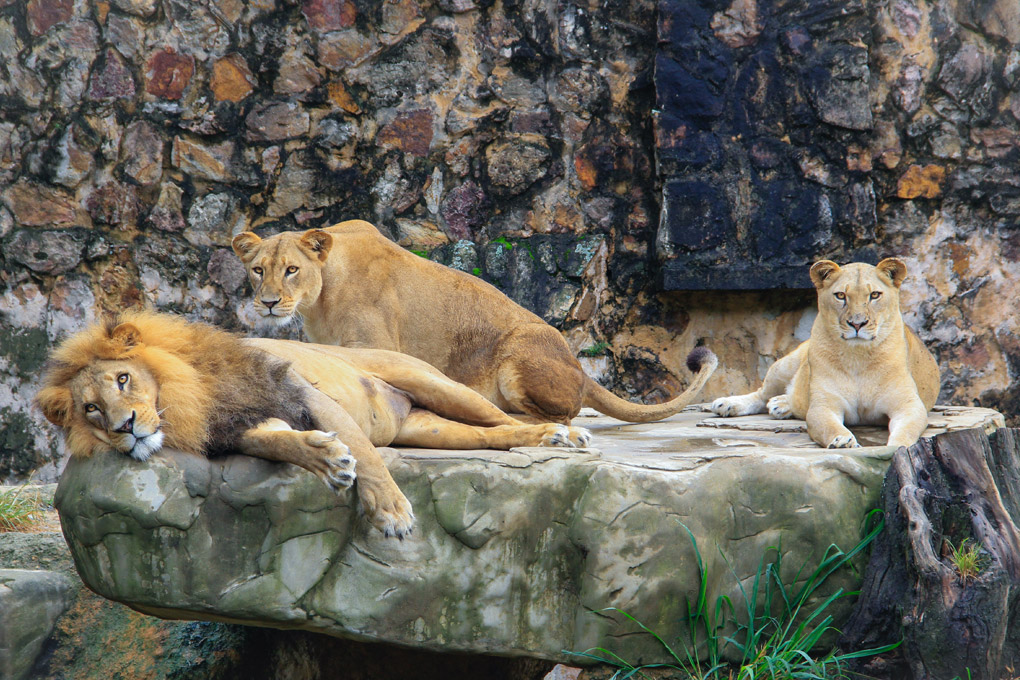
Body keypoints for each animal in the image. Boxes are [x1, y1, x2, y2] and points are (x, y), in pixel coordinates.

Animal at [37, 311, 591, 538]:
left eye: (124, 378)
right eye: (91, 409)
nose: (125, 426)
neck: (190, 398)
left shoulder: (303, 392)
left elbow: (366, 455)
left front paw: (390, 512)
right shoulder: (245, 426)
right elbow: (283, 445)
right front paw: (325, 459)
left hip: (434, 383)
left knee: (503, 415)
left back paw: (561, 434)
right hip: (431, 429)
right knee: (493, 434)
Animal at [231, 223, 718, 422]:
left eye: (291, 269)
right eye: (258, 270)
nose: (269, 303)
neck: (319, 298)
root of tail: (580, 368)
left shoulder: (374, 345)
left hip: (519, 355)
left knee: (565, 414)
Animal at [709, 257, 938, 448]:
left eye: (874, 295)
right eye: (840, 295)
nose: (857, 324)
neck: (858, 356)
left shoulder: (908, 404)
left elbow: (906, 431)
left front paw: (896, 448)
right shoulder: (824, 405)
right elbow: (830, 425)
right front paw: (842, 441)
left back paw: (781, 404)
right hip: (783, 366)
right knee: (760, 394)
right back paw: (727, 404)